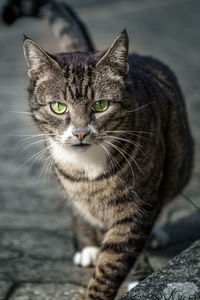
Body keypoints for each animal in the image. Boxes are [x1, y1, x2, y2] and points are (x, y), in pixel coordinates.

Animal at [2, 0, 194, 298]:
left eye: (100, 105)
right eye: (58, 107)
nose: (81, 132)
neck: (88, 167)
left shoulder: (137, 205)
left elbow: (114, 260)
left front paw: (137, 276)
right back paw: (88, 245)